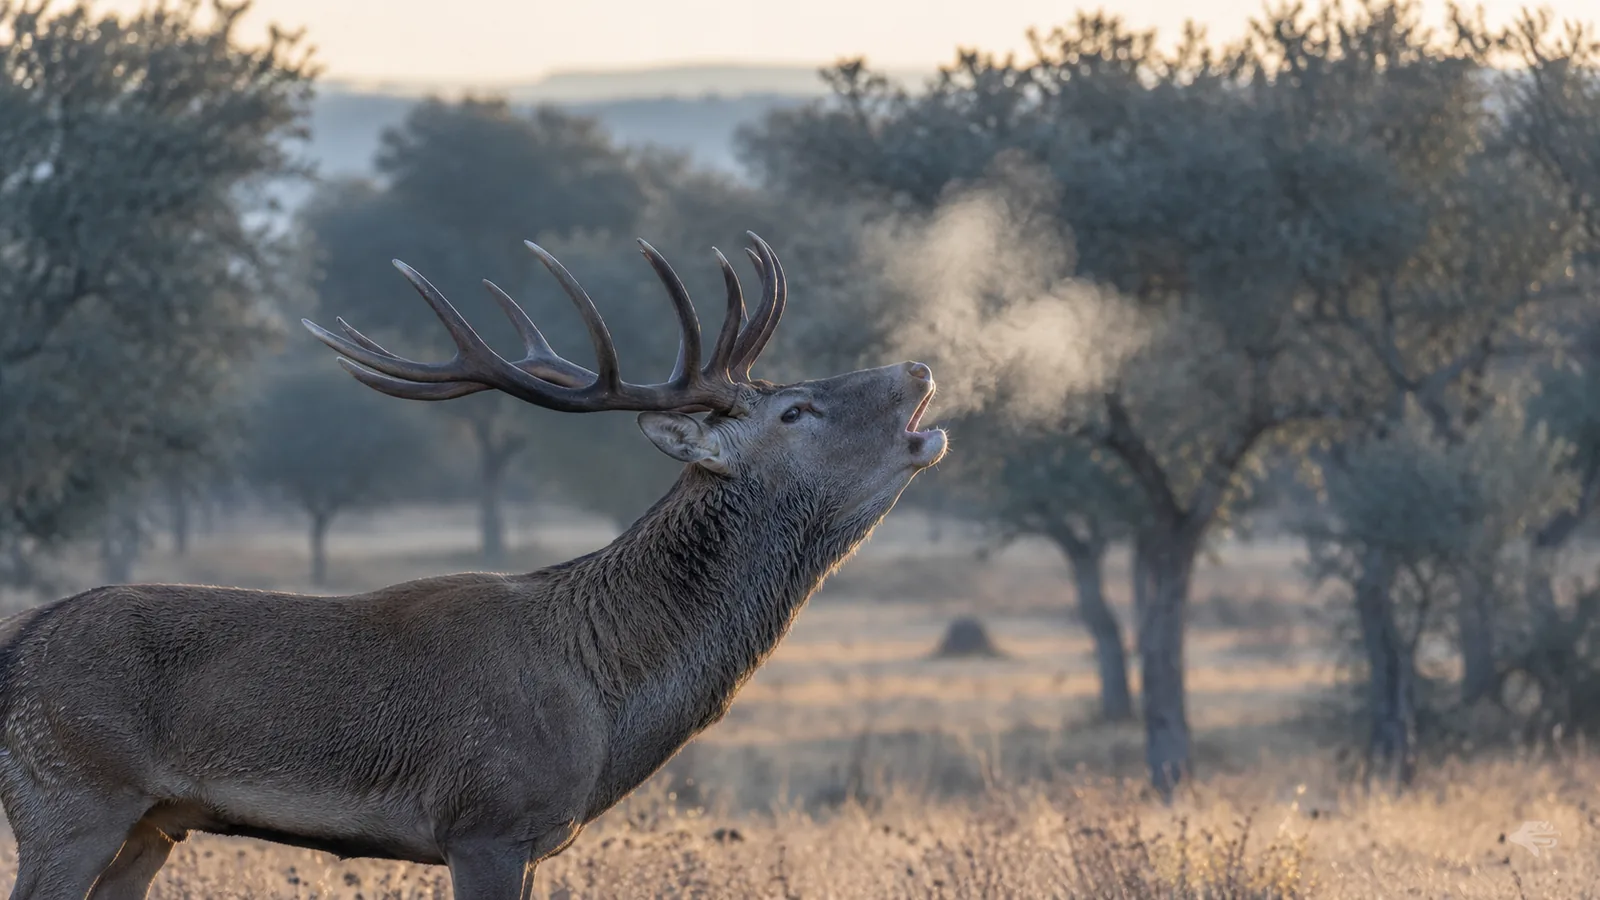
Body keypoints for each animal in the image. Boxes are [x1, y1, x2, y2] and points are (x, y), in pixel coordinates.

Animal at [0, 232, 947, 900]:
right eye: (795, 410)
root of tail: (16, 645)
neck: (605, 699)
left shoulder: (530, 838)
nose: (919, 367)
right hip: (69, 796)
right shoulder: (486, 820)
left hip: (153, 824)